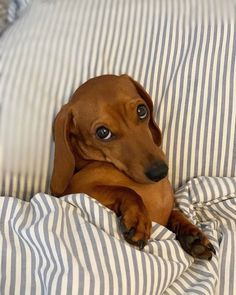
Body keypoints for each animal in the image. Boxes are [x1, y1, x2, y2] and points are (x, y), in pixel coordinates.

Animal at [51, 75, 216, 260]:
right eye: (103, 133)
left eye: (141, 110)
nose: (160, 172)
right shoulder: (77, 190)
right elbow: (128, 191)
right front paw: (138, 218)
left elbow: (175, 213)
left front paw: (192, 233)